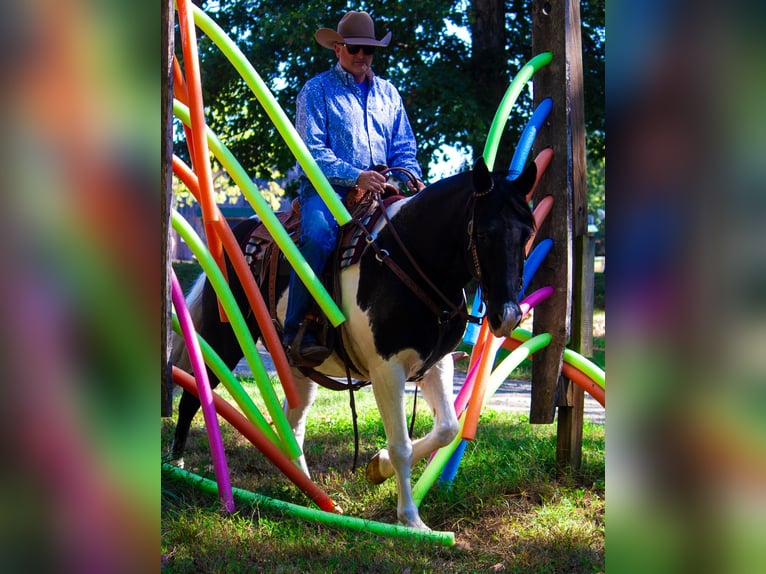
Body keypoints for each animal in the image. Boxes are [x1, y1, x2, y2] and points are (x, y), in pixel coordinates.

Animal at [170, 159, 536, 532]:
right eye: (484, 233)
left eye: (528, 233)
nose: (507, 315)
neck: (408, 261)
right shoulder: (387, 369)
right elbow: (402, 445)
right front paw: (410, 519)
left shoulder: (436, 362)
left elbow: (448, 429)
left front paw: (378, 466)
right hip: (225, 338)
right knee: (193, 397)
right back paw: (177, 464)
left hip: (298, 365)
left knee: (294, 420)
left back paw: (308, 491)